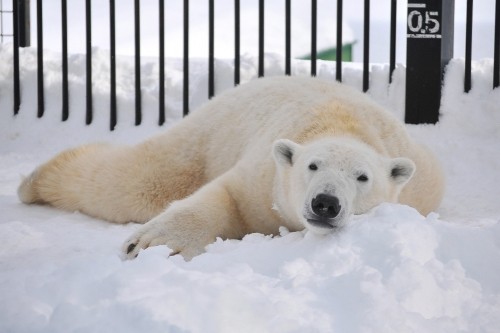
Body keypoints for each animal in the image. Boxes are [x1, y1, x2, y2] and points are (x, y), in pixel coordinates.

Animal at [17, 76, 444, 260]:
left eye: (362, 177)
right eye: (312, 165)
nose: (325, 203)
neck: (343, 123)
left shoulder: (422, 191)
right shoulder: (262, 174)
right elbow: (226, 197)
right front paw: (149, 244)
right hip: (207, 134)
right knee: (136, 183)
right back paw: (32, 182)